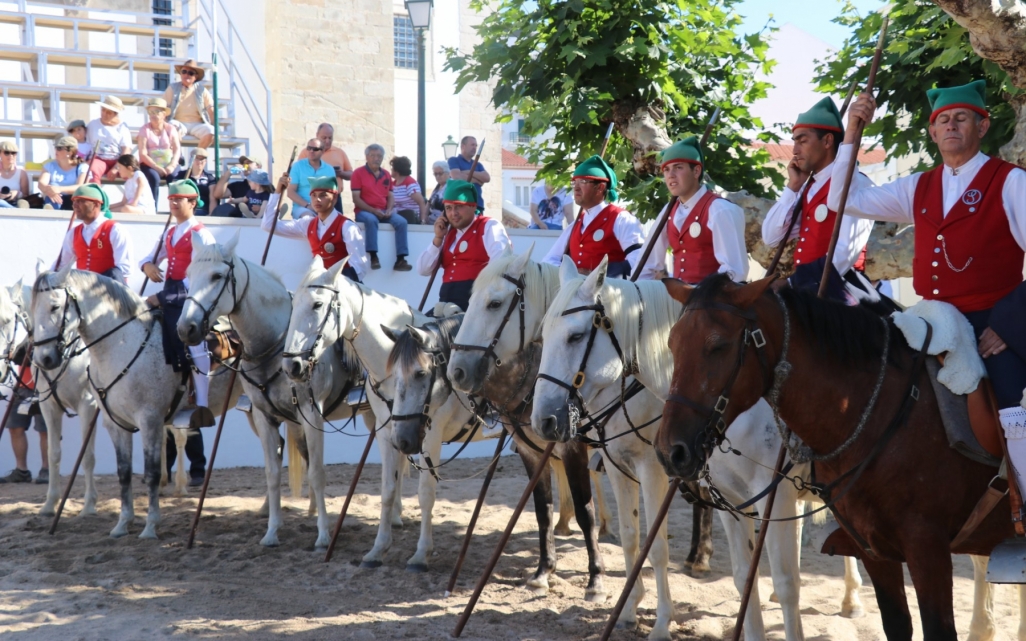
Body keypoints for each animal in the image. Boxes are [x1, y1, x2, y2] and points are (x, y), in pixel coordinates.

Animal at [30, 262, 182, 537]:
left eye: (55, 307)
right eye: (31, 309)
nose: (43, 359)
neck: (122, 344)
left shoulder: (139, 416)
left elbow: (96, 458)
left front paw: (148, 525)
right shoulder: (62, 409)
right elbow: (119, 470)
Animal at [178, 237, 367, 545]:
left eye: (217, 276)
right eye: (190, 275)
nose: (186, 329)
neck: (275, 346)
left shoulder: (311, 416)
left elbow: (317, 472)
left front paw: (323, 535)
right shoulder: (264, 418)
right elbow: (272, 473)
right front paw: (272, 531)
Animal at [656, 272, 1009, 639]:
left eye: (718, 346)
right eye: (672, 345)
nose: (671, 451)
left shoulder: (926, 547)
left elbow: (786, 581)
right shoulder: (735, 501)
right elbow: (745, 579)